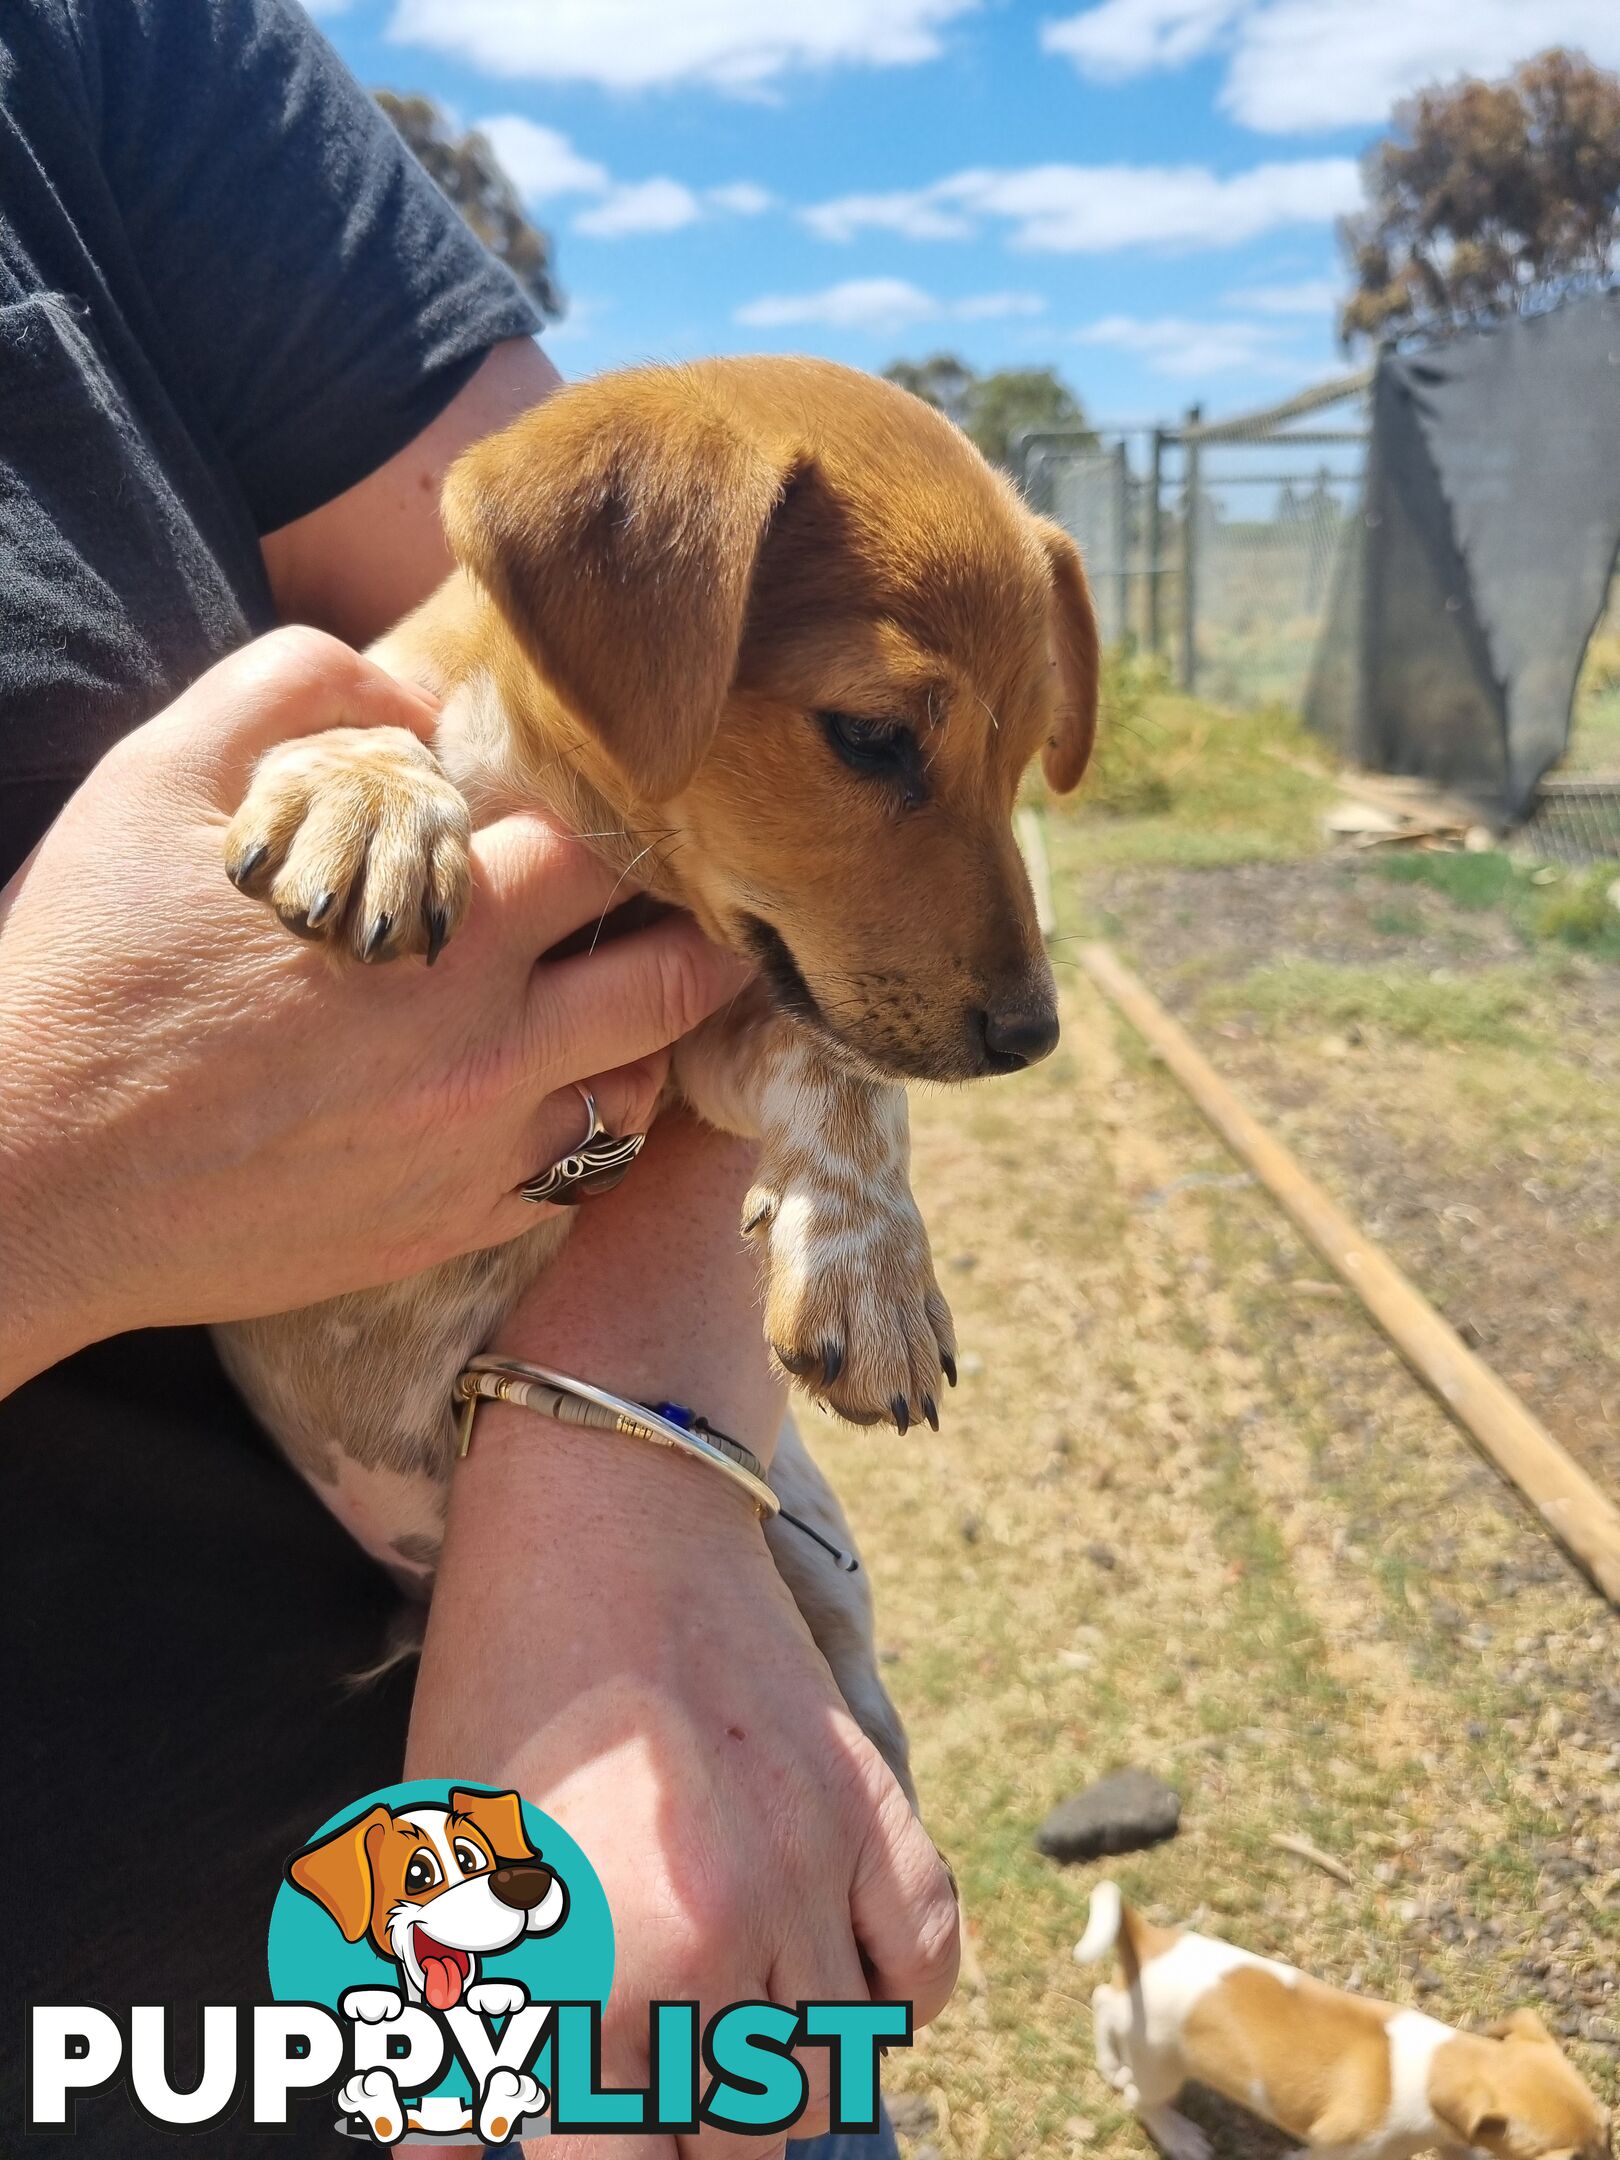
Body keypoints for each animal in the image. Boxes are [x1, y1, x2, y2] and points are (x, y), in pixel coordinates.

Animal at [216, 354, 1097, 1779]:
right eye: (870, 736)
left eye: (1026, 756)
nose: (1035, 1039)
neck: (586, 819)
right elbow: (370, 718)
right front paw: (365, 793)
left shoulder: (721, 1026)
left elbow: (847, 1084)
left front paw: (874, 1271)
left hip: (823, 1573)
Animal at [1080, 1883, 1615, 2160]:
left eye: (1608, 2132)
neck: (1440, 2065)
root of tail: (1148, 1941)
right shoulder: (1337, 2150)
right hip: (1162, 2065)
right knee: (1140, 2100)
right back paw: (1181, 2137)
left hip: (1136, 2018)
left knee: (1104, 1998)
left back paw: (1108, 2061)